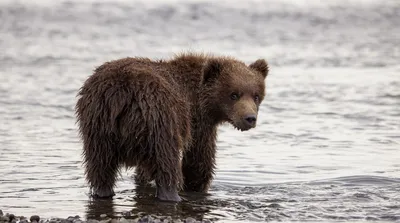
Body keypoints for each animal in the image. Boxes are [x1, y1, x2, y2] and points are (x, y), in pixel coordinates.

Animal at [75, 52, 268, 202]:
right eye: (234, 94)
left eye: (256, 95)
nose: (250, 118)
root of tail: (121, 94)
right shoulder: (196, 120)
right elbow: (198, 159)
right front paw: (196, 186)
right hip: (159, 119)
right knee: (166, 161)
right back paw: (172, 195)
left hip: (98, 124)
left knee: (100, 166)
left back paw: (102, 192)